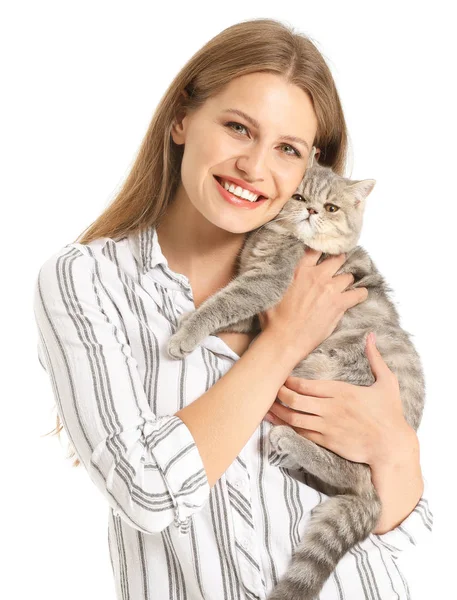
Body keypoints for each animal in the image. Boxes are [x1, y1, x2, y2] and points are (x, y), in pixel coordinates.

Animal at [165, 146, 424, 600]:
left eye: (332, 207)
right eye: (300, 197)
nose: (312, 211)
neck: (275, 238)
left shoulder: (267, 283)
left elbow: (224, 302)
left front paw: (187, 332)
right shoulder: (258, 310)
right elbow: (229, 310)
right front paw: (189, 315)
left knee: (355, 474)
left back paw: (290, 442)